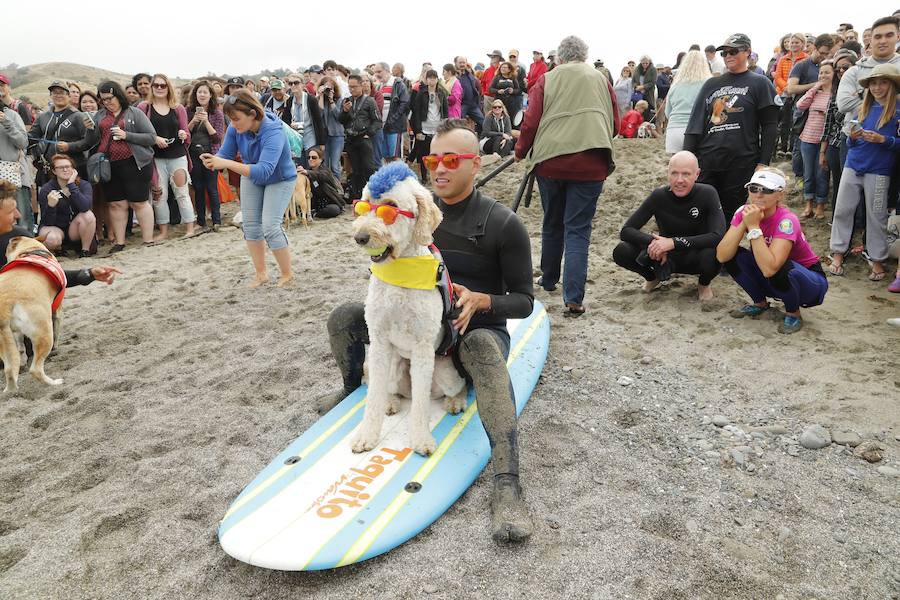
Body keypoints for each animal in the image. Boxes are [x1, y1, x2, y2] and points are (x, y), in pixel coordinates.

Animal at [0, 234, 66, 394]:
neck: (31, 249)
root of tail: (5, 299)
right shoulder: (57, 312)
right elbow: (57, 332)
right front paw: (56, 349)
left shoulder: (16, 332)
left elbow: (21, 346)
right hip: (44, 332)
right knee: (35, 369)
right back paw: (54, 383)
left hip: (3, 340)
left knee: (10, 369)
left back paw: (9, 391)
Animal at [350, 163, 468, 454]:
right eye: (363, 205)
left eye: (390, 208)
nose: (360, 237)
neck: (400, 274)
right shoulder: (379, 341)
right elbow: (373, 397)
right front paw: (366, 435)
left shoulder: (423, 346)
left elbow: (421, 405)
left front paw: (421, 439)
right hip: (394, 366)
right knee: (392, 390)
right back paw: (391, 401)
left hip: (446, 371)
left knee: (453, 388)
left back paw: (455, 402)